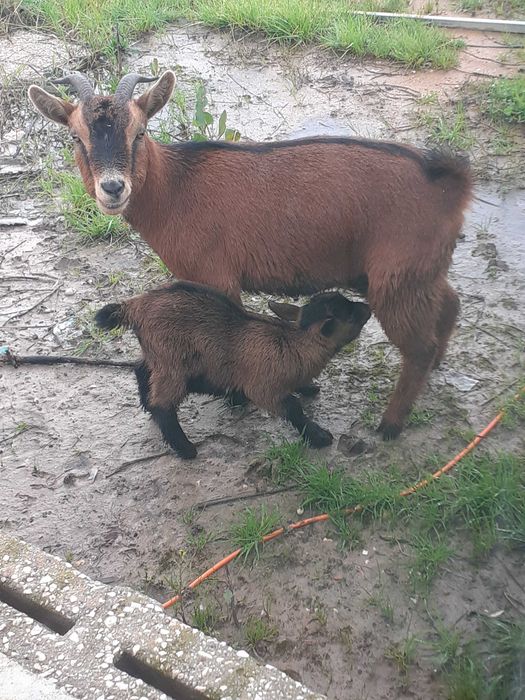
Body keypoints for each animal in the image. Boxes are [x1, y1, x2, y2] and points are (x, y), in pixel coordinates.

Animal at [29, 72, 472, 439]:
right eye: (76, 137)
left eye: (139, 132)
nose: (113, 189)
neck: (175, 187)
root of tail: (449, 181)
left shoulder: (216, 277)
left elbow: (230, 330)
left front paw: (237, 397)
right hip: (418, 270)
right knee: (450, 302)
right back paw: (435, 367)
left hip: (395, 278)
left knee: (418, 346)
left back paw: (391, 424)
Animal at [95, 282, 371, 459]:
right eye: (350, 315)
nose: (367, 308)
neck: (292, 343)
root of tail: (134, 306)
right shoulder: (264, 388)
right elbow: (293, 407)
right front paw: (318, 436)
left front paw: (309, 387)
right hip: (172, 363)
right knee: (162, 404)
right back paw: (185, 448)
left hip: (158, 356)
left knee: (140, 369)